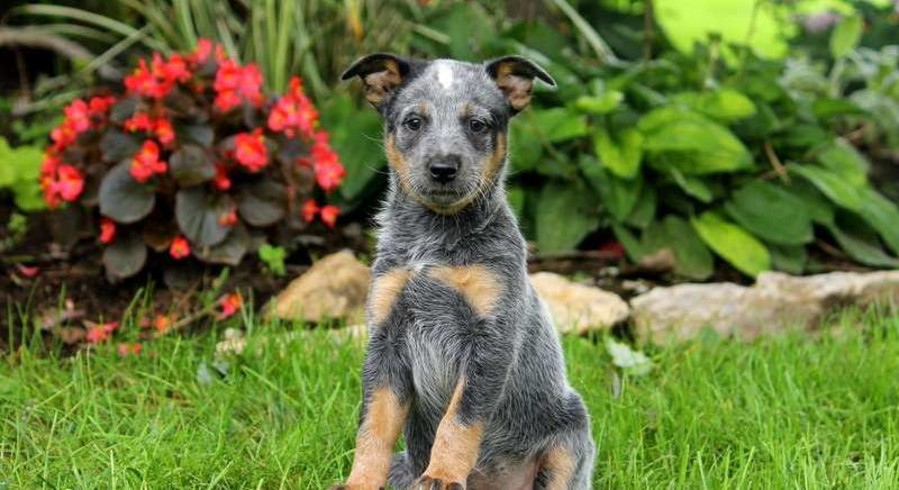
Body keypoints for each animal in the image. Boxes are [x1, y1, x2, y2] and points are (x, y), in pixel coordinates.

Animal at [334, 54, 596, 490]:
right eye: (414, 121)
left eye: (477, 124)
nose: (443, 167)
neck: (433, 242)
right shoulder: (386, 339)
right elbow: (374, 424)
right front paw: (360, 482)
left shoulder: (491, 340)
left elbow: (459, 419)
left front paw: (442, 475)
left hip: (570, 436)